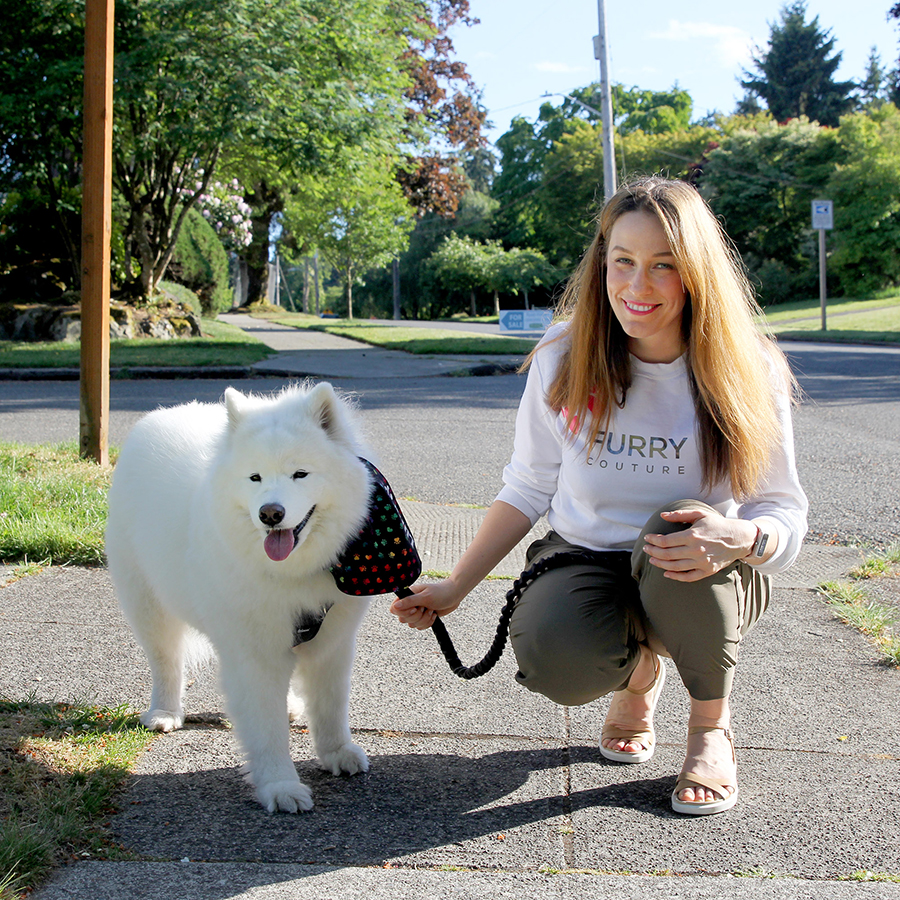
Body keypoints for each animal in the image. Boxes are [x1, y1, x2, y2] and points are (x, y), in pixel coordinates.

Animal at [104, 384, 372, 812]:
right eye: (255, 477)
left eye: (300, 473)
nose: (270, 513)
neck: (290, 573)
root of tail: (162, 414)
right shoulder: (254, 652)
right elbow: (266, 728)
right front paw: (281, 786)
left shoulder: (333, 642)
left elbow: (330, 707)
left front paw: (337, 753)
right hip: (148, 603)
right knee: (166, 661)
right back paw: (164, 712)